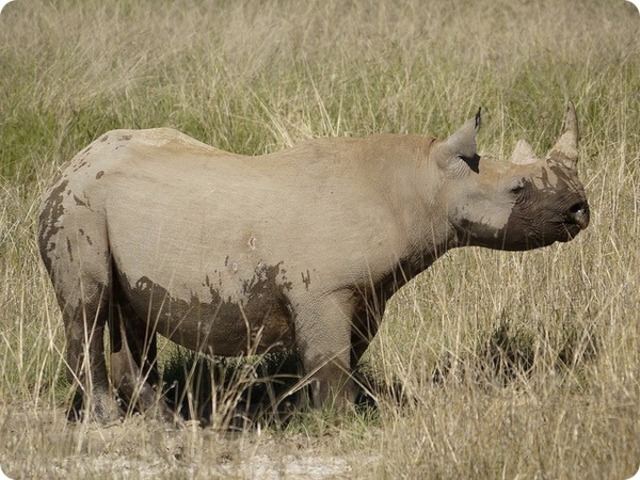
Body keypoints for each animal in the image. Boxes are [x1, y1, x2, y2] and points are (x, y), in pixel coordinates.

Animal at [38, 103, 589, 423]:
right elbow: (331, 360)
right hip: (78, 207)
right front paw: (337, 423)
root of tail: (71, 162)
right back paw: (109, 422)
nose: (580, 209)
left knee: (132, 311)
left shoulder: (366, 292)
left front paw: (302, 410)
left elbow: (339, 356)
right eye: (517, 188)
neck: (421, 184)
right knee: (87, 308)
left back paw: (166, 422)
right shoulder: (324, 289)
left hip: (105, 206)